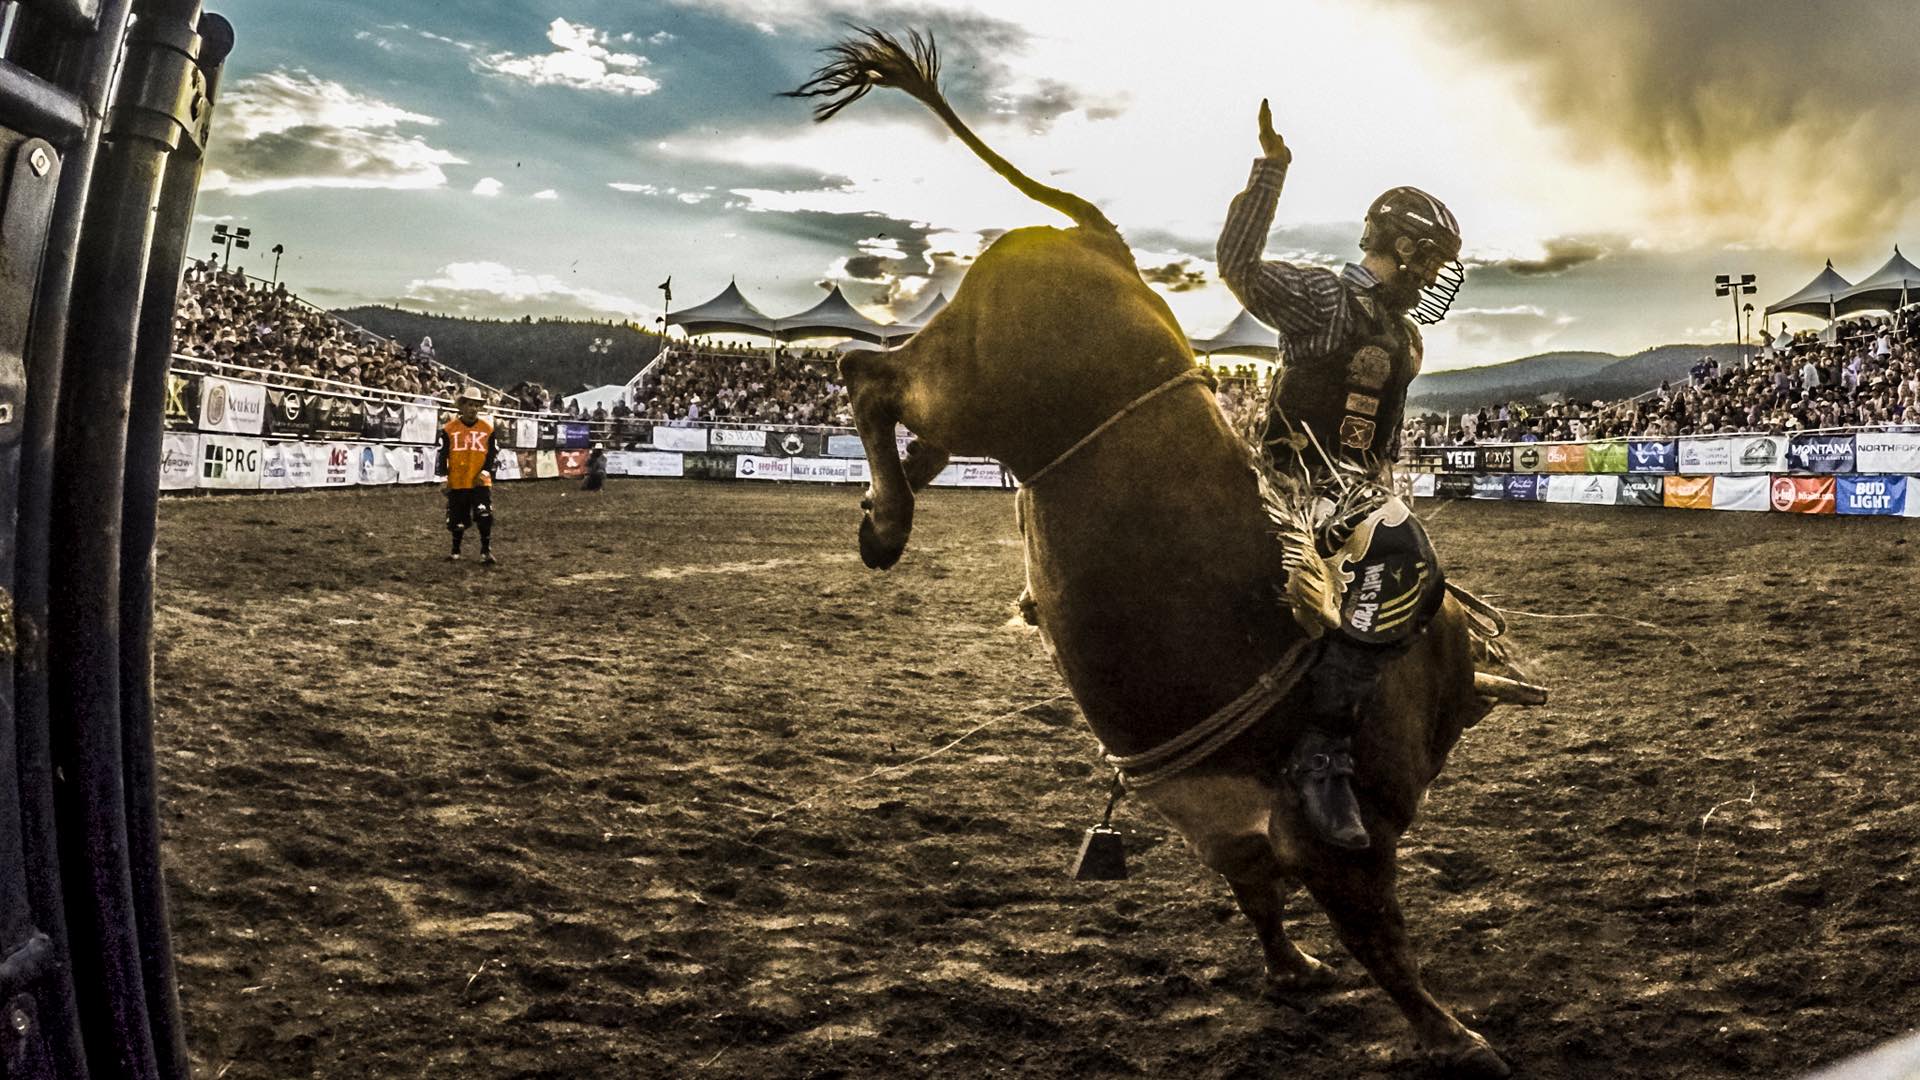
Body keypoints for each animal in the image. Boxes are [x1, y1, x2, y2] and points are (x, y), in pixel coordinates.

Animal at [794, 29, 1543, 1068]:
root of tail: (1099, 239)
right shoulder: (1340, 849)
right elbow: (1382, 940)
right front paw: (1458, 1037)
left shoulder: (1225, 828)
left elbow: (1257, 897)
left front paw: (1290, 969)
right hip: (975, 387)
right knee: (864, 371)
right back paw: (887, 523)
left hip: (974, 395)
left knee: (892, 399)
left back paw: (887, 505)